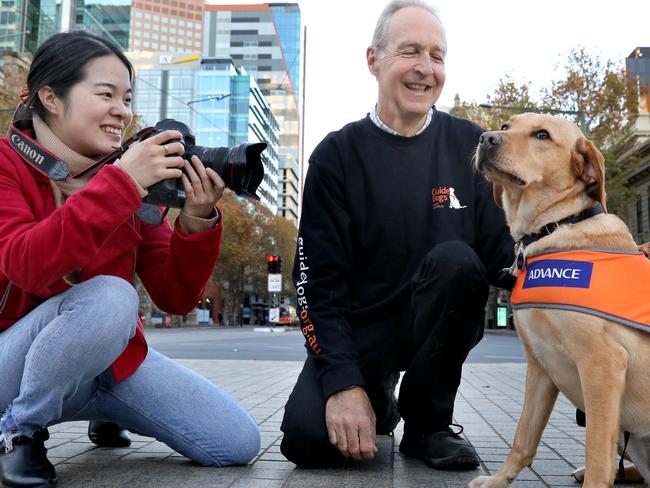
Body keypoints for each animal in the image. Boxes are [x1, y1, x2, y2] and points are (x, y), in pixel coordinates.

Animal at [468, 113, 650, 488]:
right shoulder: (540, 366)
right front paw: (497, 480)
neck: (556, 225)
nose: (486, 138)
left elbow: (598, 456)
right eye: (506, 126)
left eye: (542, 135)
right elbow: (523, 437)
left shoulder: (602, 365)